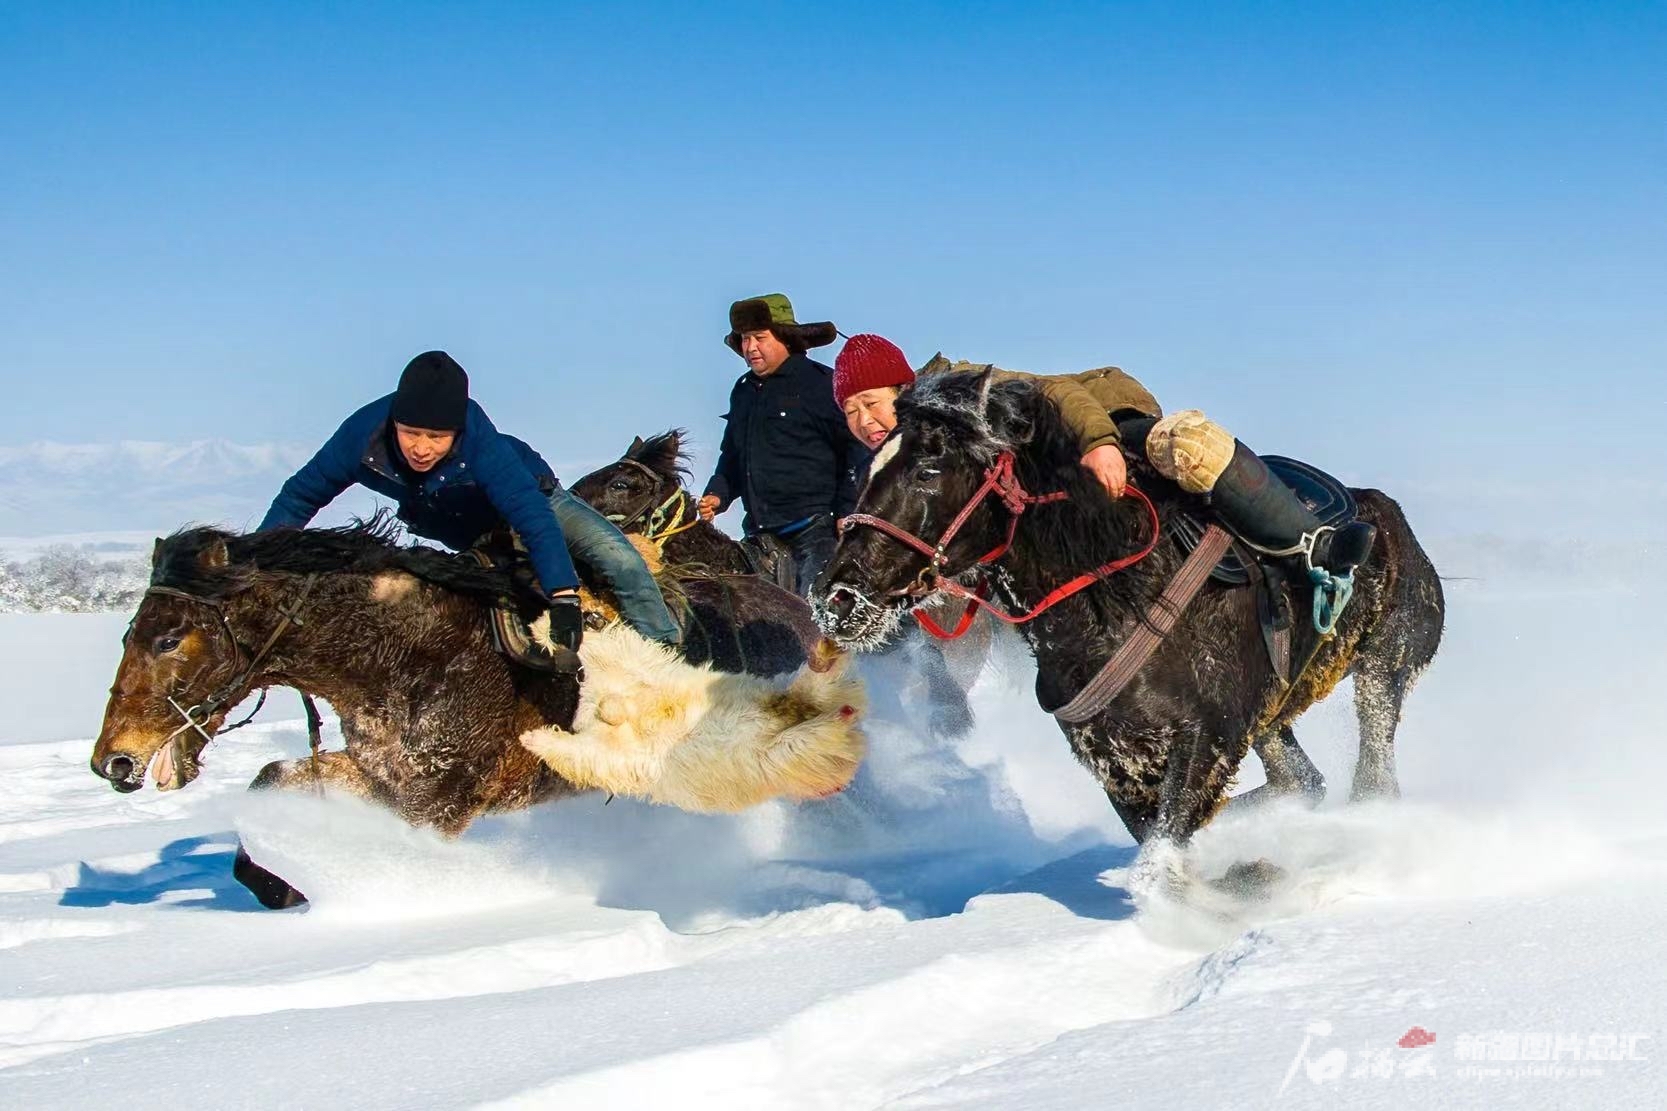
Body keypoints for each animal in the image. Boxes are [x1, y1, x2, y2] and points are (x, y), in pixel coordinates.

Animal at [87, 513, 860, 907]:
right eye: (128, 633)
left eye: (167, 637)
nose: (112, 761)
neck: (413, 654)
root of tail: (803, 614)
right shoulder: (383, 776)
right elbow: (272, 781)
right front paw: (279, 884)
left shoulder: (432, 806)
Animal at [820, 372, 1446, 880]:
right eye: (868, 466)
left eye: (929, 468)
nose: (838, 601)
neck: (1119, 591)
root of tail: (1388, 520)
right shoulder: (1116, 757)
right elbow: (1157, 847)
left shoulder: (1207, 737)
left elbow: (1159, 860)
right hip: (1271, 721)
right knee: (1303, 782)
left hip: (1384, 670)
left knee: (1372, 777)